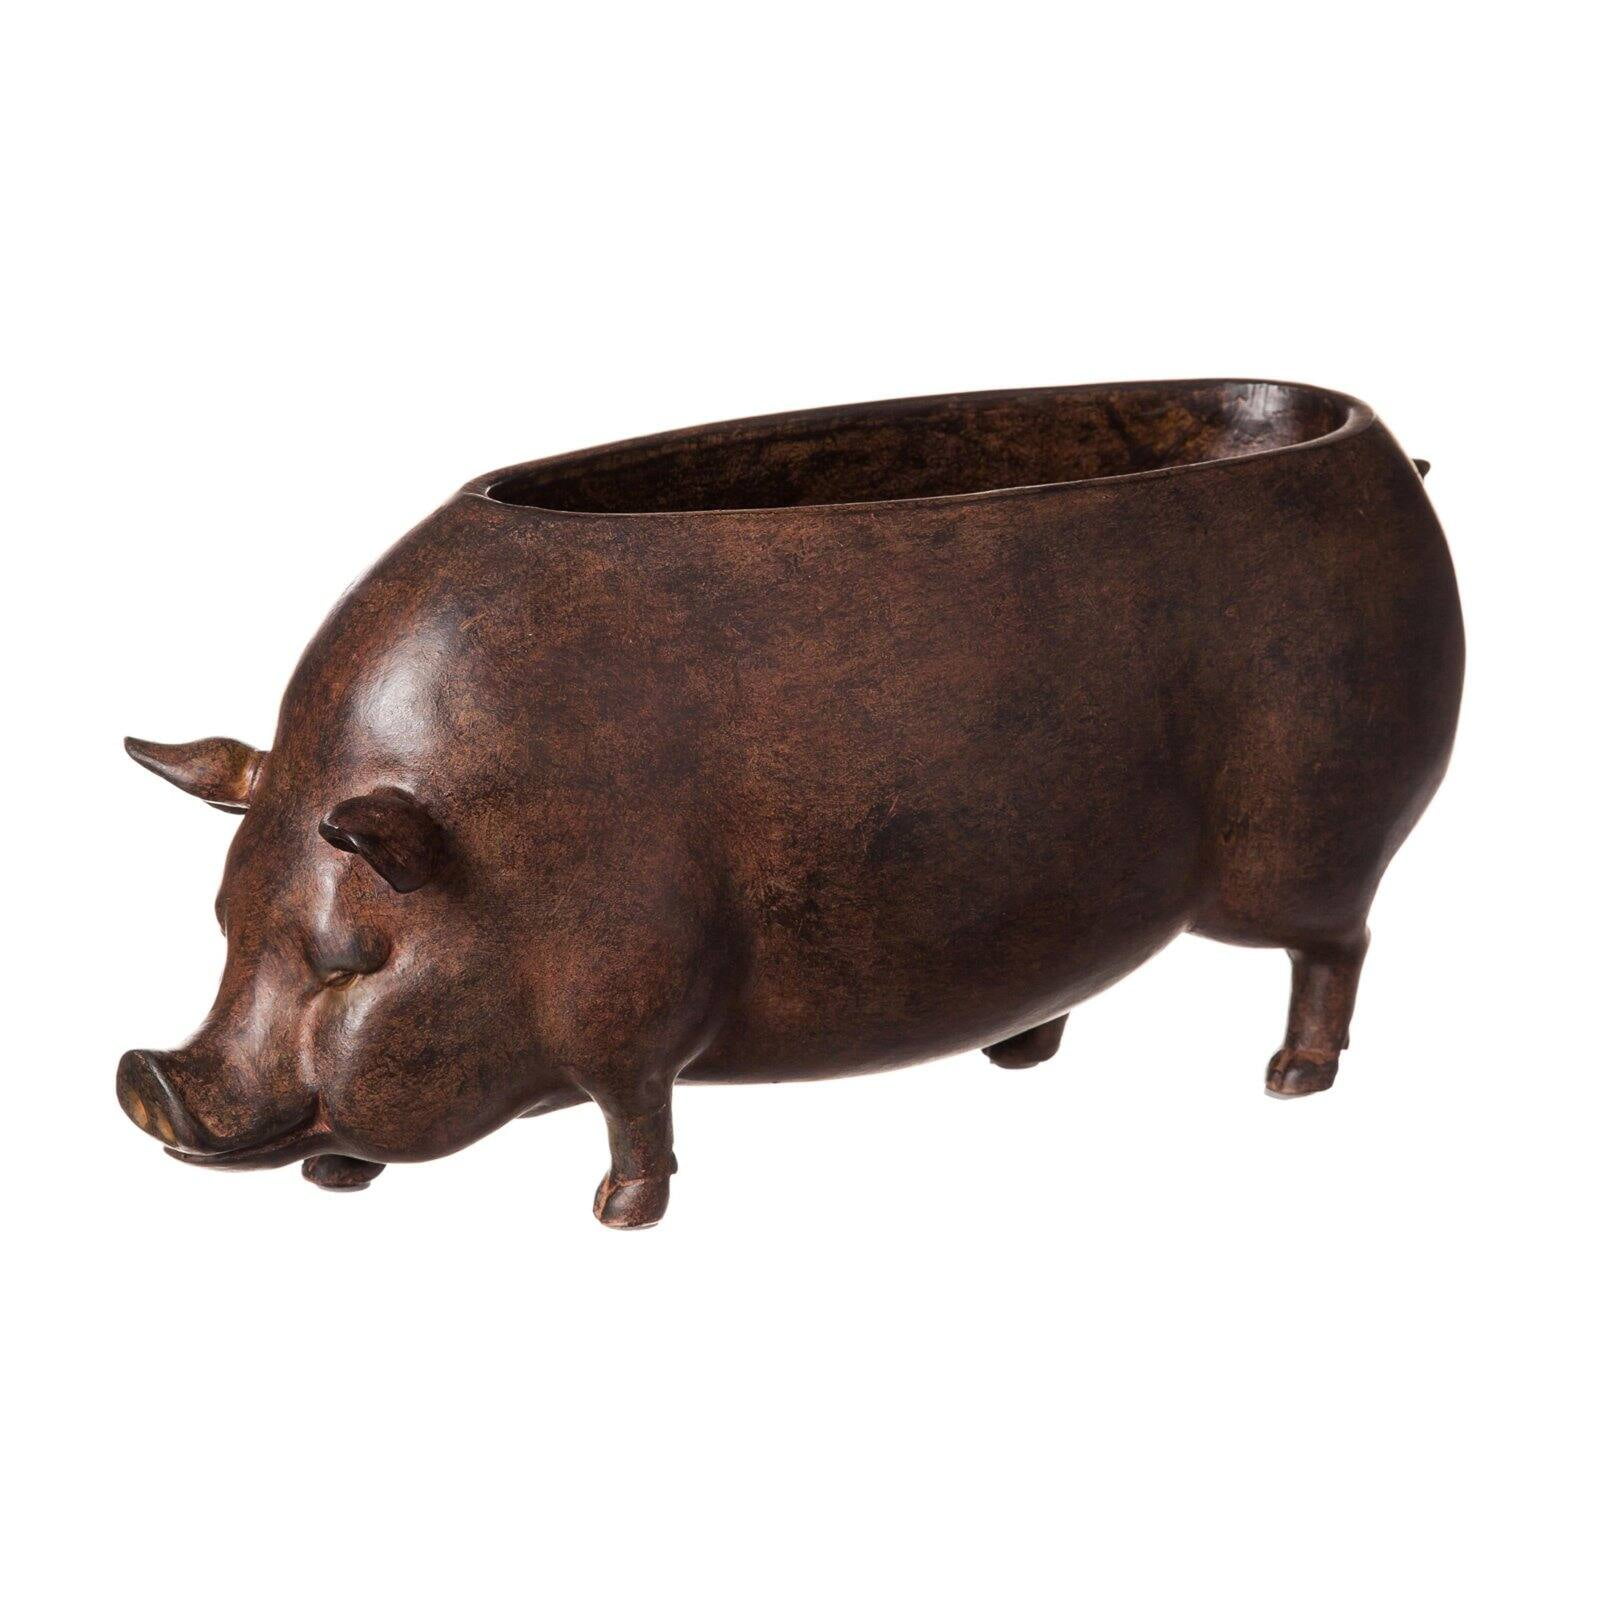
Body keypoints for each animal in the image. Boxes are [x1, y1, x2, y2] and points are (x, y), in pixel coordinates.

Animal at [119, 381, 1464, 1226]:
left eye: (353, 962)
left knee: (1338, 945)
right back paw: (1021, 1054)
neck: (503, 870)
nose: (147, 1077)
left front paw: (621, 1215)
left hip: (1303, 843)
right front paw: (337, 1181)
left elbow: (634, 1115)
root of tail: (1383, 452)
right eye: (224, 926)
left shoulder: (633, 1014)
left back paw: (1291, 1079)